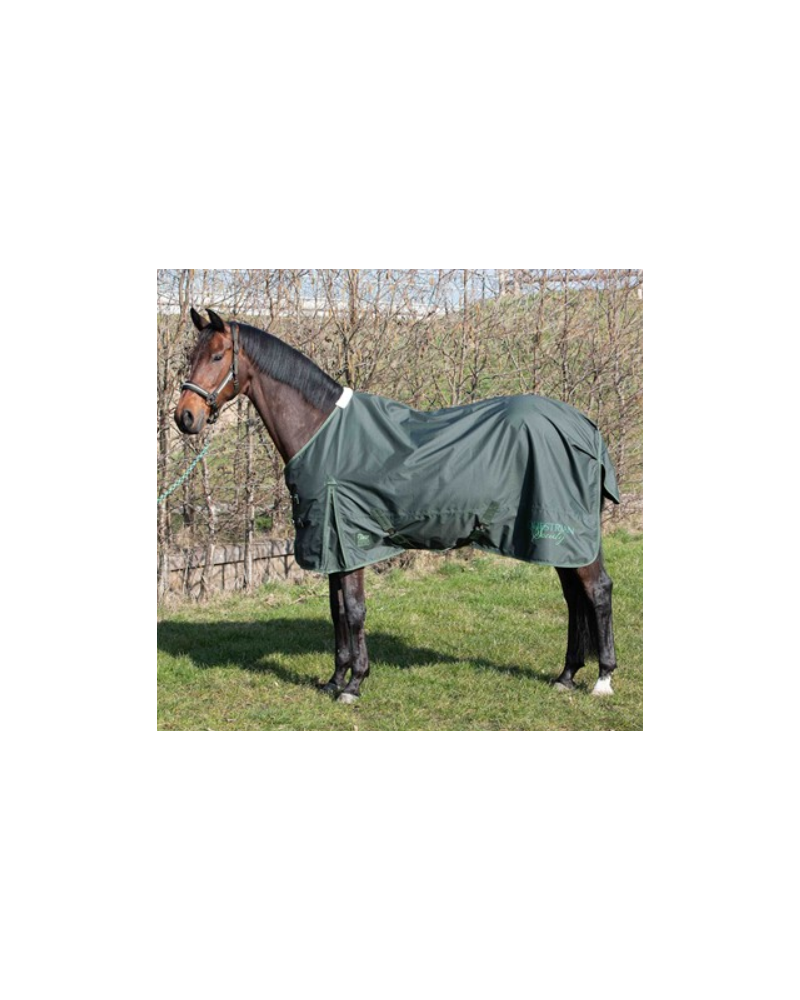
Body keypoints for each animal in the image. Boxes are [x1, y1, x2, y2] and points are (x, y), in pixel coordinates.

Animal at [175, 308, 619, 703]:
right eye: (190, 355)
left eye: (217, 356)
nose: (184, 417)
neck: (321, 431)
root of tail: (585, 428)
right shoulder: (331, 545)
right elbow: (337, 611)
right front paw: (335, 680)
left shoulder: (348, 541)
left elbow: (354, 610)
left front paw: (355, 685)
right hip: (556, 541)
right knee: (574, 598)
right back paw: (566, 676)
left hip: (566, 533)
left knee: (597, 591)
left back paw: (602, 679)